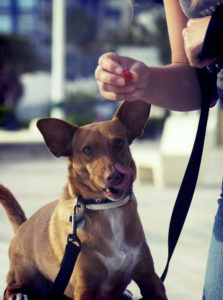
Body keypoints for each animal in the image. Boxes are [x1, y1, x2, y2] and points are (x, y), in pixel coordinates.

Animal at [0, 101, 167, 300]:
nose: (115, 176)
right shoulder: (85, 288)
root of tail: (22, 226)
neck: (107, 208)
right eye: (87, 150)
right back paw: (18, 294)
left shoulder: (150, 278)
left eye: (119, 143)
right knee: (10, 287)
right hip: (25, 273)